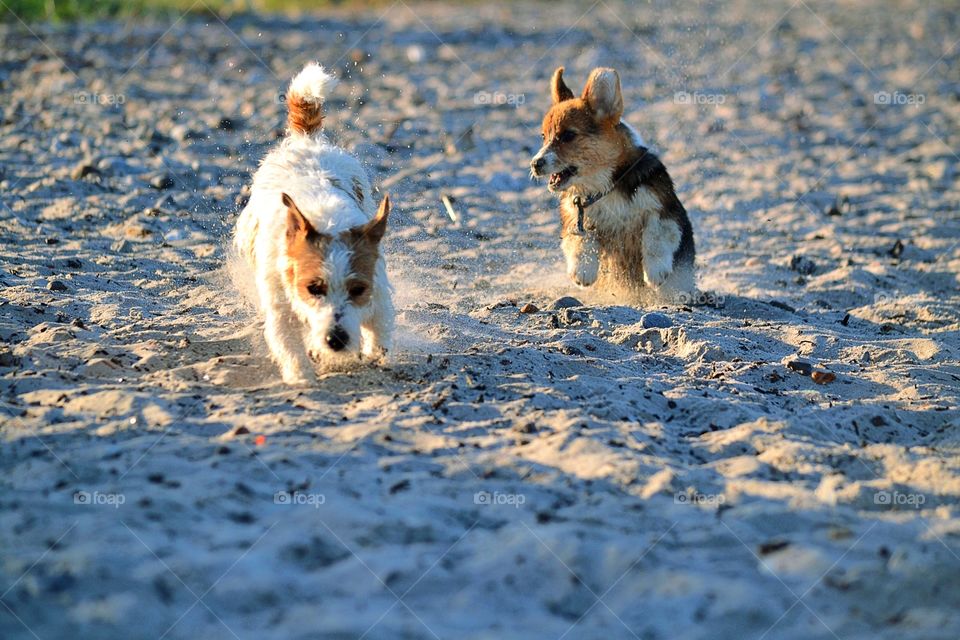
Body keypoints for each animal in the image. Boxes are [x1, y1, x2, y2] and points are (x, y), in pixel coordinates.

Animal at [232, 63, 394, 384]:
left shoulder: (378, 293)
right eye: (313, 288)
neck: (326, 221)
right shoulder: (281, 307)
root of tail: (307, 141)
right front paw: (302, 378)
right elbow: (289, 346)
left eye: (358, 289)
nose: (336, 340)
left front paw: (367, 356)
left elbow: (378, 334)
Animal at [528, 66, 692, 296]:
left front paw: (656, 272)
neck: (605, 186)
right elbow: (582, 240)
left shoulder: (665, 208)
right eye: (544, 136)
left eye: (568, 136)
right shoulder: (576, 217)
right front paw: (583, 272)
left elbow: (656, 234)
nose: (535, 164)